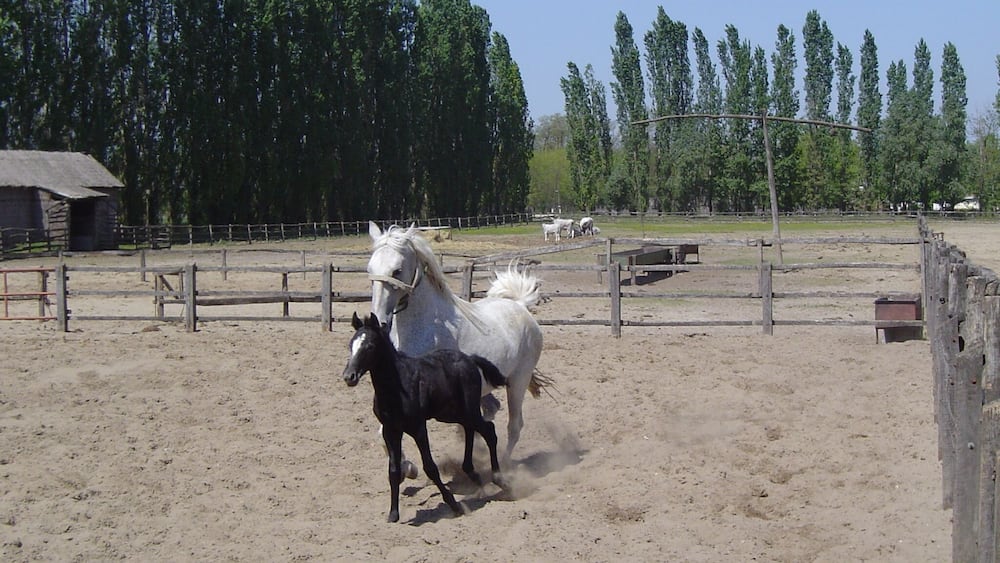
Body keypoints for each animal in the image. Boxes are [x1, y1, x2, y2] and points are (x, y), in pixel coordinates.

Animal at [343, 312, 509, 523]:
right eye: (351, 345)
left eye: (370, 346)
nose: (349, 376)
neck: (398, 387)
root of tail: (469, 359)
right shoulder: (391, 430)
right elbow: (393, 470)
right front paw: (393, 514)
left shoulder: (418, 428)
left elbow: (430, 467)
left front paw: (454, 505)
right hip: (451, 413)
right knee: (470, 429)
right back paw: (472, 473)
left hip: (468, 409)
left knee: (489, 431)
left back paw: (499, 479)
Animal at [367, 222, 547, 473]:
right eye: (370, 269)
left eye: (397, 270)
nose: (379, 321)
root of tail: (520, 306)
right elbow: (383, 435)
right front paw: (408, 468)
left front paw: (408, 468)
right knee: (491, 412)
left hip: (518, 381)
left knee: (514, 426)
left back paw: (504, 465)